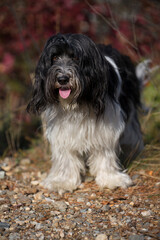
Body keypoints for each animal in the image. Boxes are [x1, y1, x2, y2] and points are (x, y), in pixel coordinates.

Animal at [26, 33, 144, 195]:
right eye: (54, 57)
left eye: (76, 57)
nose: (62, 79)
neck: (78, 102)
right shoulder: (63, 130)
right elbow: (66, 155)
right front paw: (63, 181)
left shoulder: (106, 126)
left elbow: (104, 151)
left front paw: (110, 179)